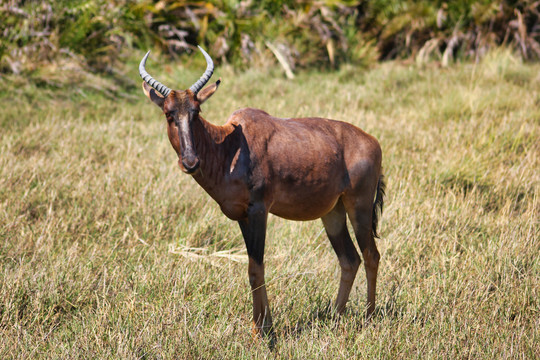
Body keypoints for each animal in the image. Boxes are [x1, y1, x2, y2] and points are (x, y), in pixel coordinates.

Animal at [139, 45, 384, 338]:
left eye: (196, 111)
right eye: (169, 113)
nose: (190, 161)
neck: (231, 144)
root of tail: (372, 142)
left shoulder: (259, 211)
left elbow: (256, 268)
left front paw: (261, 330)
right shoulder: (243, 217)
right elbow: (253, 267)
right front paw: (263, 324)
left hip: (359, 205)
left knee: (371, 255)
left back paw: (369, 318)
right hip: (333, 212)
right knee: (349, 260)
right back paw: (335, 316)